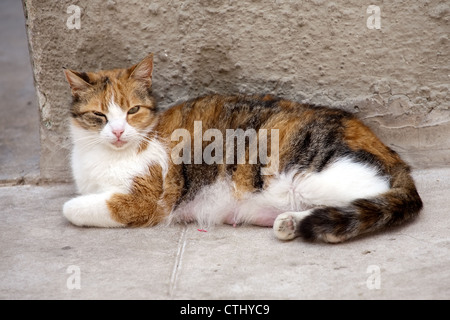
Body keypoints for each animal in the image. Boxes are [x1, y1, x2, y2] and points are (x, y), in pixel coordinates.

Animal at [62, 53, 422, 242]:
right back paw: (290, 223)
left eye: (132, 111)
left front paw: (76, 206)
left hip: (312, 178)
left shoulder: (149, 199)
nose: (118, 131)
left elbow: (75, 207)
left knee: (368, 196)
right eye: (99, 115)